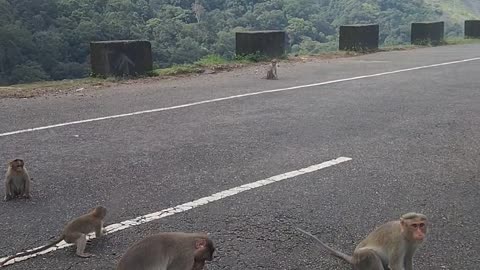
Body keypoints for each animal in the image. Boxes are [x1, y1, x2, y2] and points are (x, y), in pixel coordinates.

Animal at [296, 213, 428, 270]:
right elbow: (396, 265)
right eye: (414, 226)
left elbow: (408, 259)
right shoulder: (397, 241)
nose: (420, 233)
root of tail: (353, 257)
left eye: (421, 225)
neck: (405, 234)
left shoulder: (413, 244)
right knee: (371, 255)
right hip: (360, 259)